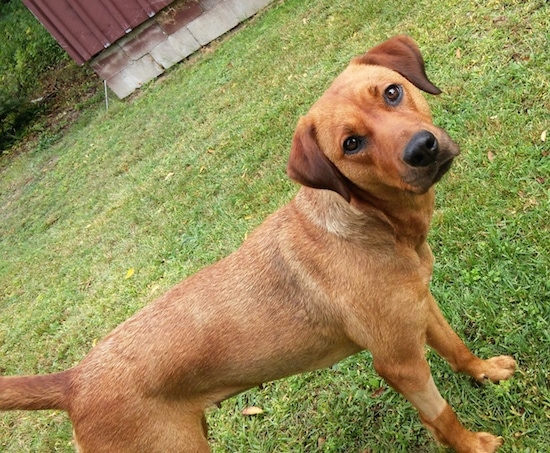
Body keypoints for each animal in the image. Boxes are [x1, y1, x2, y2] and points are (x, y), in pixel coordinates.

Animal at [0, 36, 516, 452]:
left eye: (393, 92)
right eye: (350, 144)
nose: (422, 149)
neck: (374, 224)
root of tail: (73, 382)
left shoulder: (420, 307)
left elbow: (456, 349)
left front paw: (487, 371)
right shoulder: (398, 361)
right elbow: (440, 413)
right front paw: (472, 445)